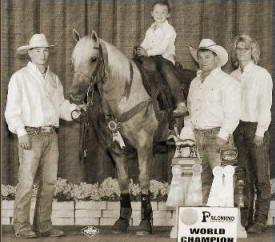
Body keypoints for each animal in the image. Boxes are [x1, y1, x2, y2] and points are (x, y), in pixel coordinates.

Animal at [69, 29, 194, 234]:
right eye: (73, 60)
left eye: (93, 58)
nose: (74, 94)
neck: (126, 94)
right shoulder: (116, 149)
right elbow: (123, 180)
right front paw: (122, 220)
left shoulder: (144, 145)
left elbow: (143, 179)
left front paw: (145, 222)